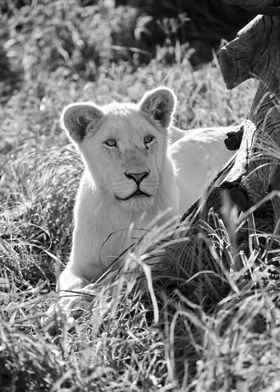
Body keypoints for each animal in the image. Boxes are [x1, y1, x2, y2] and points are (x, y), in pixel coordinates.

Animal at [43, 87, 241, 332]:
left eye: (148, 139)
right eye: (111, 143)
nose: (138, 176)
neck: (124, 213)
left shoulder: (155, 257)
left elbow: (113, 281)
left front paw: (85, 304)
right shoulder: (79, 264)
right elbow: (68, 285)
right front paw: (57, 313)